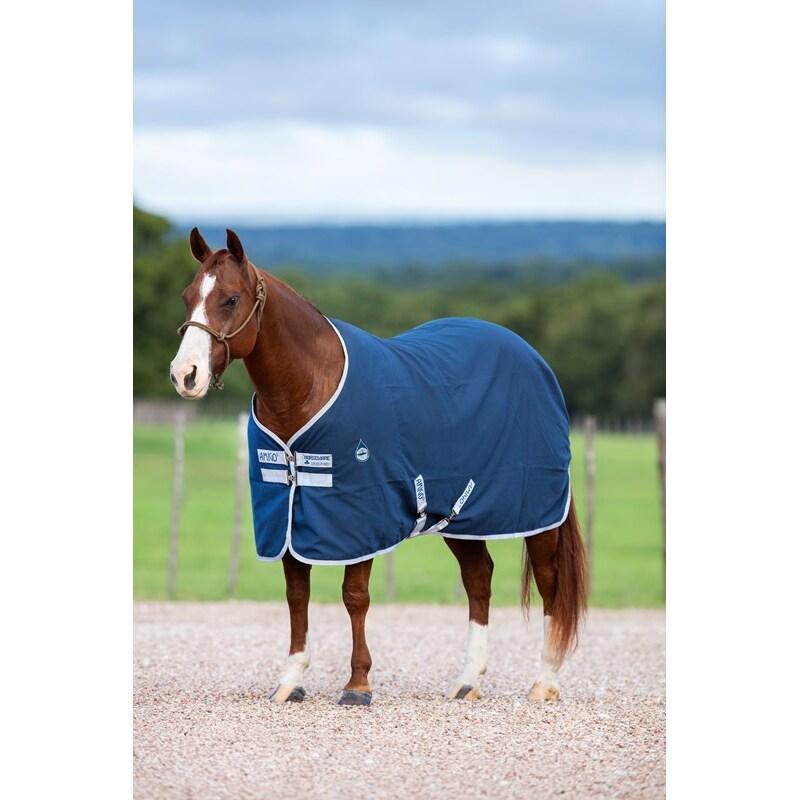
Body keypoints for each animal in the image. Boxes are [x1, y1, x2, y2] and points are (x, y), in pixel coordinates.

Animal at [169, 227, 588, 706]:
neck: (308, 386)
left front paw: (358, 684)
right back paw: (469, 680)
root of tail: (534, 360)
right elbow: (297, 595)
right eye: (187, 297)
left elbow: (355, 596)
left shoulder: (358, 516)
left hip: (537, 512)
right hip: (460, 515)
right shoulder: (289, 515)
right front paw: (291, 680)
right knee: (479, 579)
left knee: (549, 582)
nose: (185, 374)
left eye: (232, 299)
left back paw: (545, 682)